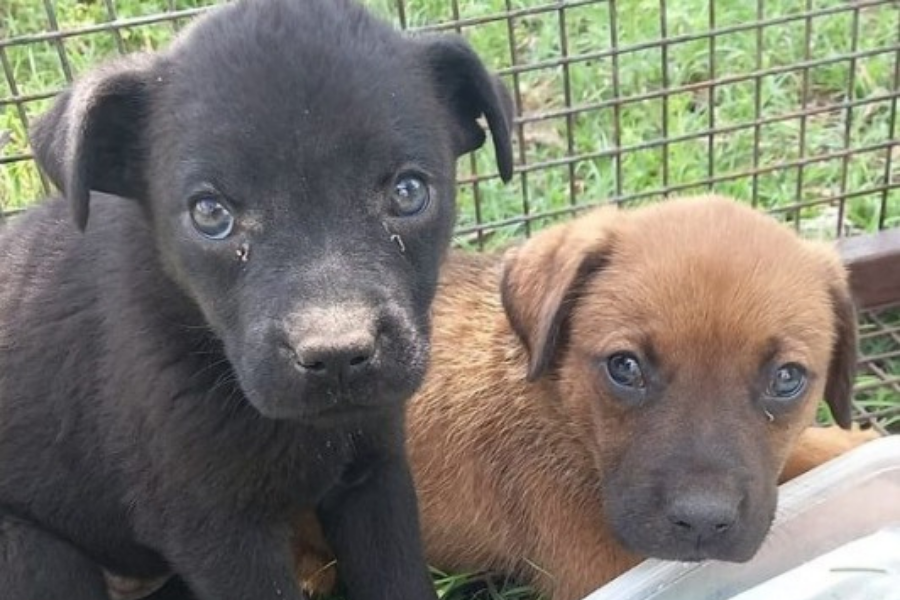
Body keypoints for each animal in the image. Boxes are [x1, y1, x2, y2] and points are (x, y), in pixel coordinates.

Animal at [0, 0, 512, 596]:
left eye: (408, 192)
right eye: (210, 213)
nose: (337, 355)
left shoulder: (376, 471)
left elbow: (400, 576)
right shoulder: (219, 532)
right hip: (30, 552)